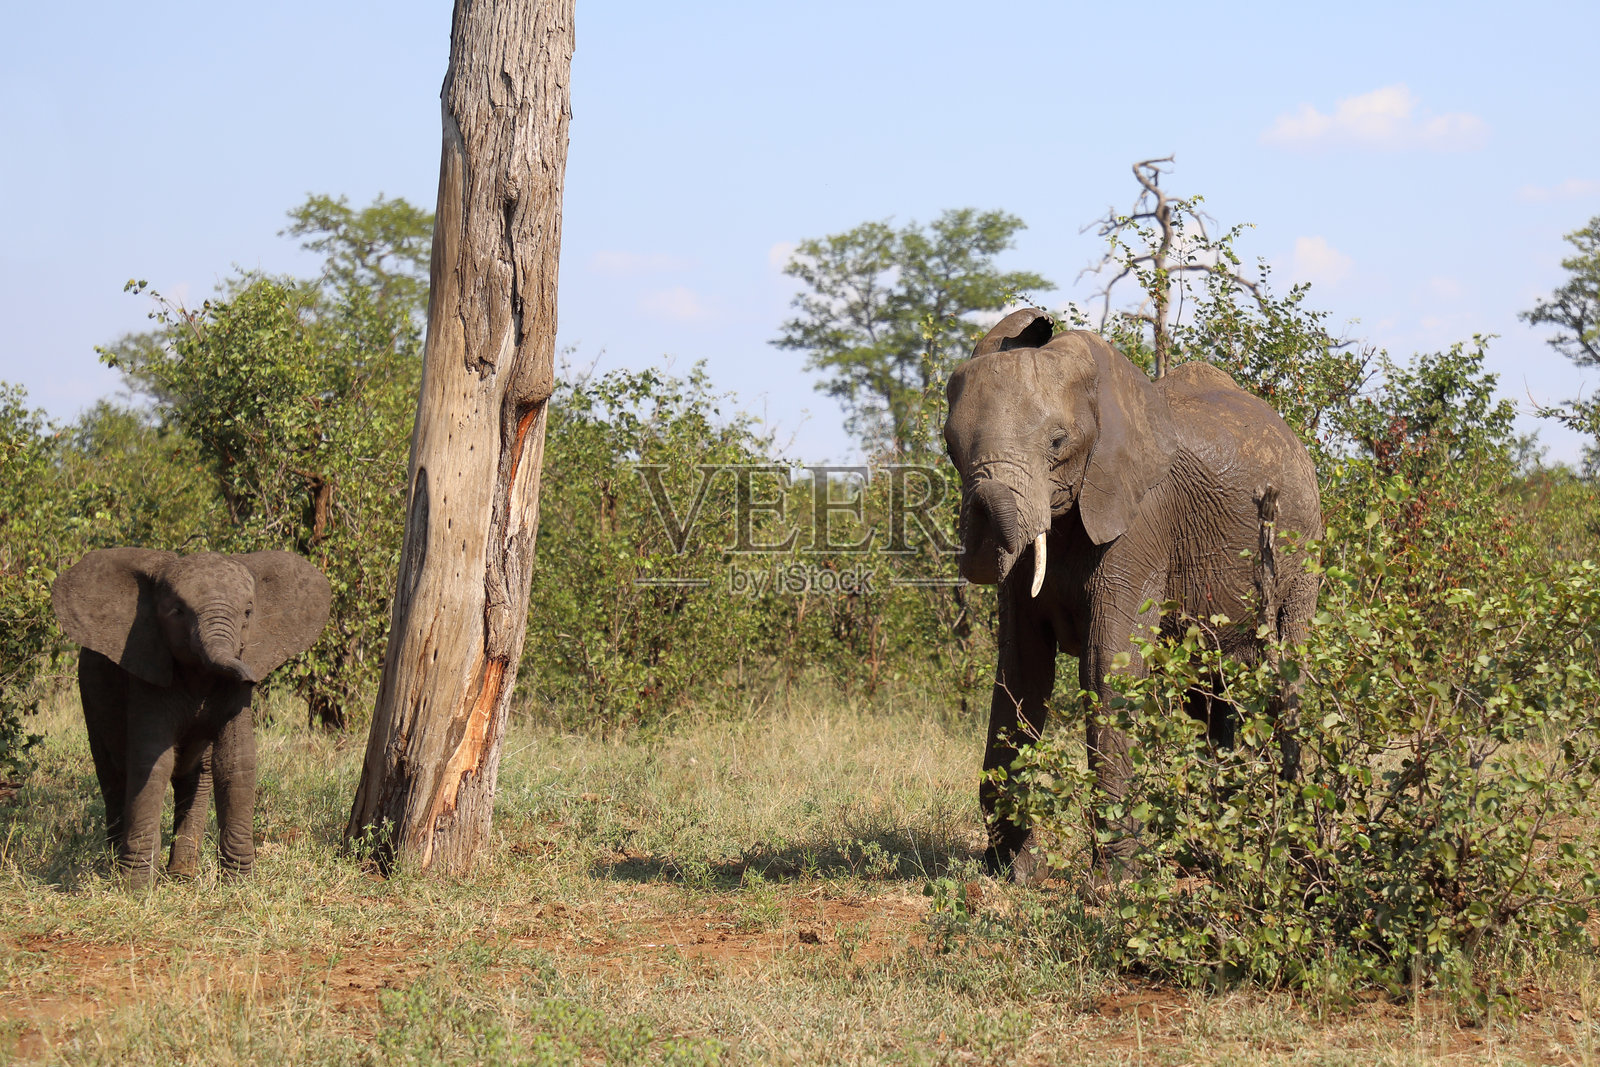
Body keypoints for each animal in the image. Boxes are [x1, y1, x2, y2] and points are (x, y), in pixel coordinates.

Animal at [51, 548, 330, 887]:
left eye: (248, 612)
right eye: (177, 611)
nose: (252, 677)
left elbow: (236, 760)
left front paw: (240, 885)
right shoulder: (148, 669)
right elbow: (153, 762)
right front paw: (135, 888)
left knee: (198, 776)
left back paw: (182, 876)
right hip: (90, 694)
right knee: (113, 774)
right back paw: (116, 867)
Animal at [942, 309, 1323, 882]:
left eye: (1057, 443)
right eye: (950, 447)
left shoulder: (1143, 520)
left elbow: (1108, 665)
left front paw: (1114, 881)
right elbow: (1021, 668)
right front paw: (1013, 871)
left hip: (1302, 552)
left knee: (1287, 676)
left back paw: (1295, 853)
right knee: (1211, 698)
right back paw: (1215, 848)